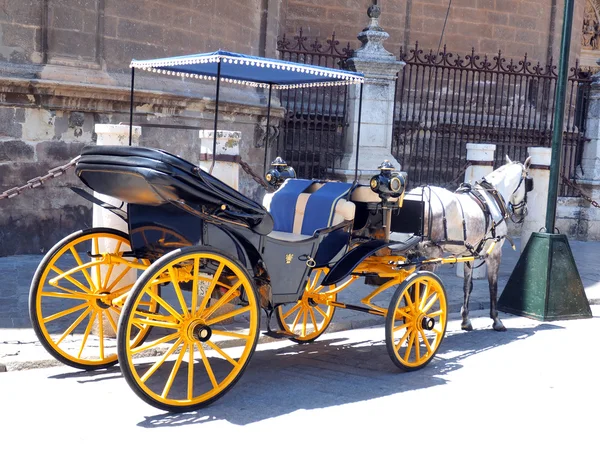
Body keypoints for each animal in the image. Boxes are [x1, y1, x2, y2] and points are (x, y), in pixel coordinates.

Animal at [410, 156, 532, 332]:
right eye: (529, 183)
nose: (523, 212)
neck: (492, 197)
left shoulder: (468, 253)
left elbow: (467, 285)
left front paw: (465, 319)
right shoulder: (495, 252)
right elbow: (493, 285)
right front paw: (496, 319)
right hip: (430, 256)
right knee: (421, 289)